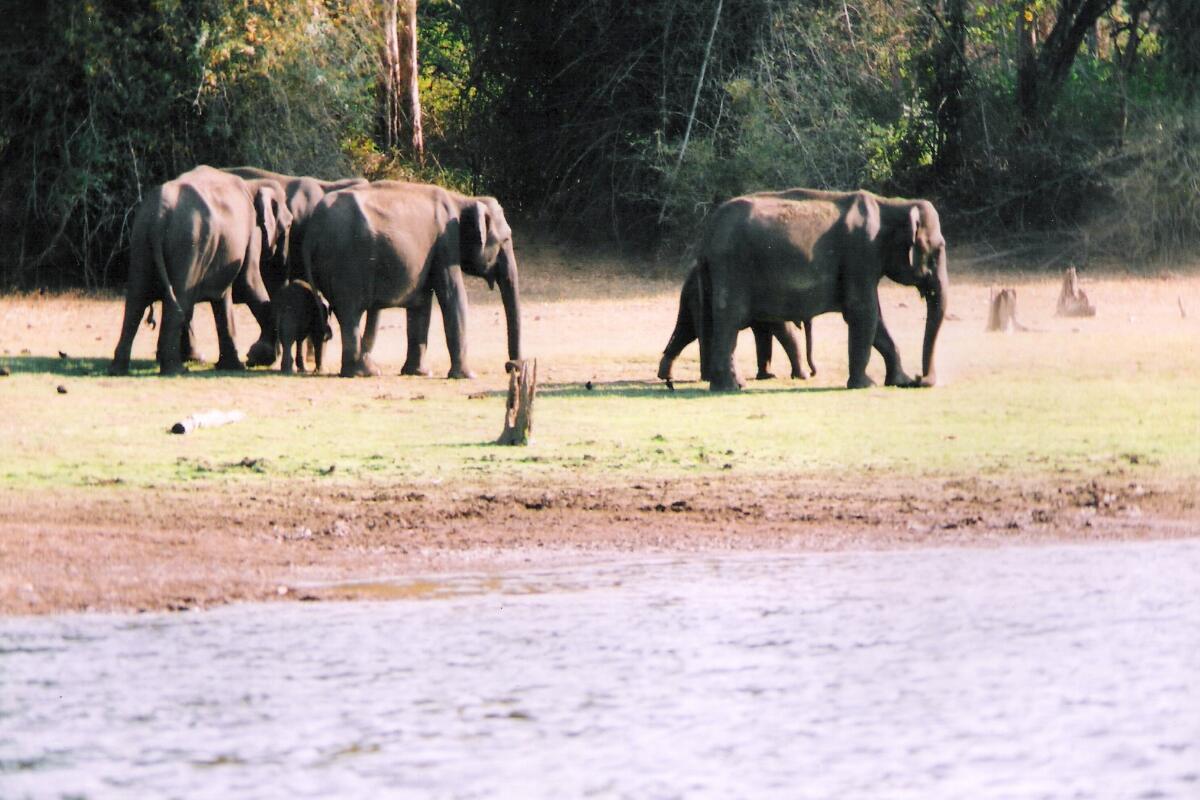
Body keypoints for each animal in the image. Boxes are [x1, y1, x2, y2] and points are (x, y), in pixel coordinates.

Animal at [109, 166, 292, 375]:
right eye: (288, 225)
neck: (253, 183)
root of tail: (159, 218)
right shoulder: (251, 232)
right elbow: (248, 282)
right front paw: (257, 358)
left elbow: (224, 296)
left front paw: (231, 364)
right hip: (189, 244)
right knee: (178, 300)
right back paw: (176, 370)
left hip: (142, 240)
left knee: (136, 300)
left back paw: (118, 370)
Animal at [303, 181, 521, 378]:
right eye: (506, 240)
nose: (511, 366)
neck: (462, 200)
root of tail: (313, 229)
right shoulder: (446, 242)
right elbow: (452, 296)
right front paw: (467, 376)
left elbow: (422, 304)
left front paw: (419, 372)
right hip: (347, 264)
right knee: (350, 313)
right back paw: (365, 372)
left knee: (345, 314)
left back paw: (357, 371)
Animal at [658, 264, 815, 382]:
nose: (813, 373)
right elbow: (783, 331)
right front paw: (803, 376)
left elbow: (763, 332)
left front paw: (768, 376)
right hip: (700, 299)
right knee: (704, 333)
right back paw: (708, 378)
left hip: (691, 301)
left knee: (685, 332)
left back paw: (666, 376)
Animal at [696, 188, 948, 391]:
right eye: (938, 250)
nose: (920, 378)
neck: (891, 205)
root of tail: (707, 232)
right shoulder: (861, 254)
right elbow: (863, 311)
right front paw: (865, 385)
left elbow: (875, 319)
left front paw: (899, 381)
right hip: (732, 265)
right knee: (730, 318)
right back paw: (730, 387)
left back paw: (728, 385)